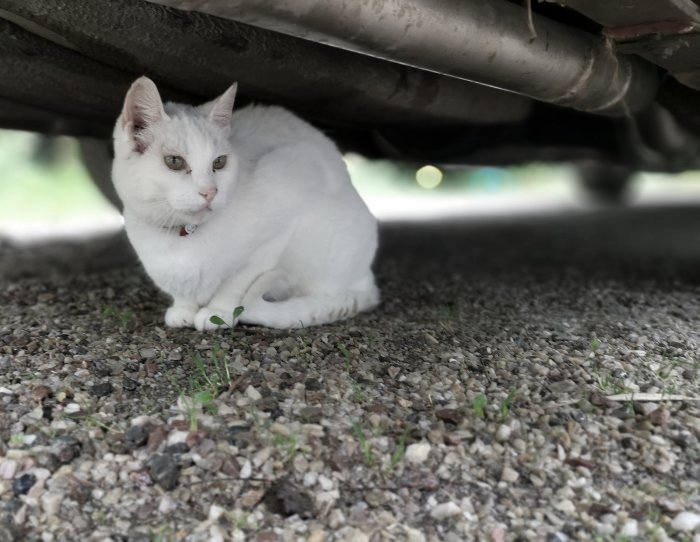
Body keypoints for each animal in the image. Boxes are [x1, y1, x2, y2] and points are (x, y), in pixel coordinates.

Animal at [112, 76, 380, 332]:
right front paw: (183, 309)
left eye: (219, 162)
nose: (210, 192)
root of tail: (368, 282)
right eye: (174, 161)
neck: (183, 239)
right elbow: (182, 293)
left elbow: (236, 283)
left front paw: (218, 312)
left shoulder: (276, 232)